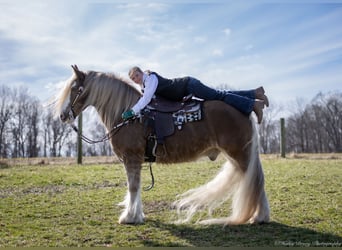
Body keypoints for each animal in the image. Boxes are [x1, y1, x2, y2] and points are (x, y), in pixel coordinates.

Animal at [55, 64, 270, 225]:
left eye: (76, 89)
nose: (63, 116)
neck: (131, 116)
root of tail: (245, 112)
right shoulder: (135, 161)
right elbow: (136, 187)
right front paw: (137, 215)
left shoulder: (131, 158)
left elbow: (133, 187)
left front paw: (129, 217)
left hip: (240, 155)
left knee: (256, 181)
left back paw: (260, 217)